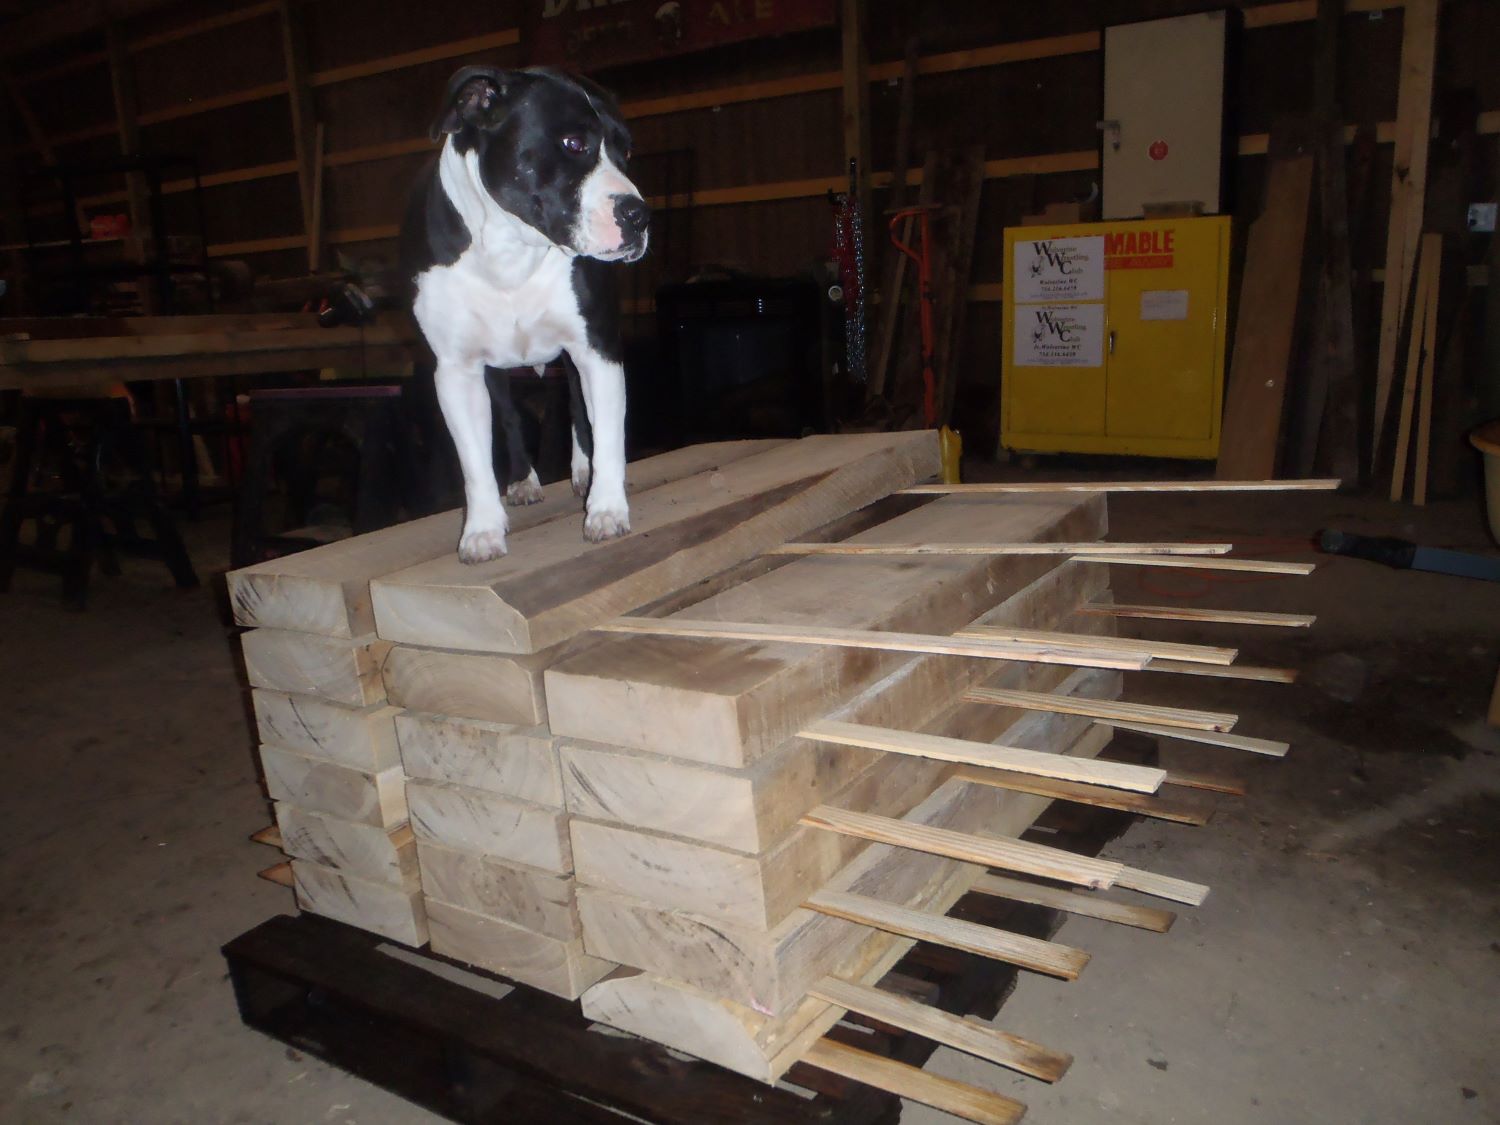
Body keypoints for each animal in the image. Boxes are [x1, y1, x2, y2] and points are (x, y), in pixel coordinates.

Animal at [402, 63, 648, 561]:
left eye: (626, 151)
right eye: (573, 143)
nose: (639, 215)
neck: (511, 248)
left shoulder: (597, 349)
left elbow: (607, 431)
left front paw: (606, 509)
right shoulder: (456, 370)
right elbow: (474, 459)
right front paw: (481, 530)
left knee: (577, 407)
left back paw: (582, 473)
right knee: (511, 418)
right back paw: (521, 481)